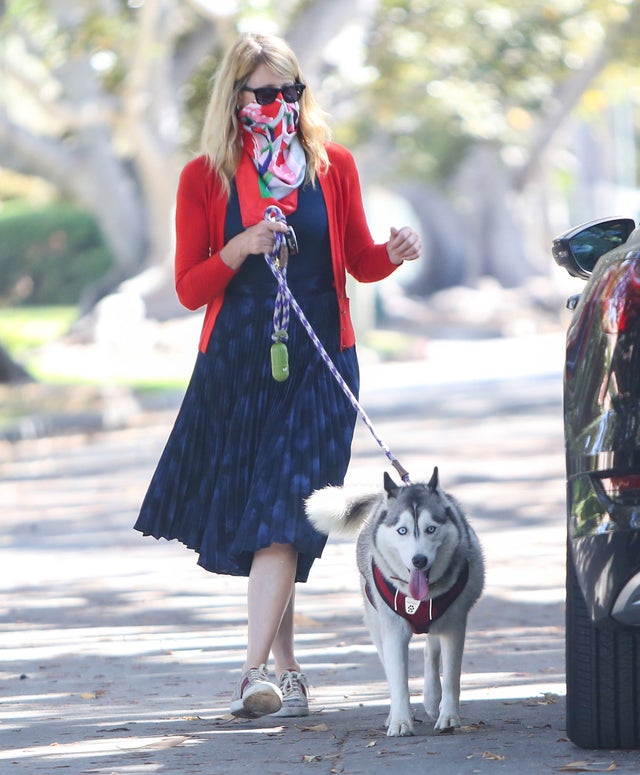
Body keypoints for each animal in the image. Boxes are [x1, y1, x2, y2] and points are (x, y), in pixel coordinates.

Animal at [308, 470, 482, 736]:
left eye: (430, 529)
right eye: (402, 531)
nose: (419, 560)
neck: (420, 598)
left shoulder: (454, 625)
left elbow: (452, 677)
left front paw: (449, 717)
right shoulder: (393, 630)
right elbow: (398, 679)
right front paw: (400, 721)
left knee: (431, 649)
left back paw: (432, 698)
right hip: (375, 619)